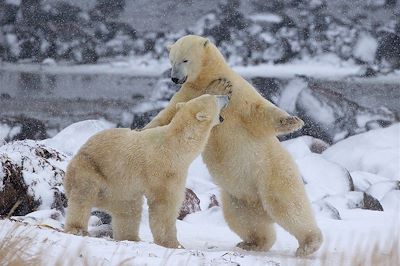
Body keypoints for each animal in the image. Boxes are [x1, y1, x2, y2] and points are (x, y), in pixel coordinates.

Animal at [64, 93, 230, 249]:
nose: (228, 96)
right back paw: (77, 228)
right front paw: (174, 244)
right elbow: (164, 206)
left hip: (121, 189)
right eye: (215, 97)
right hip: (91, 168)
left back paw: (131, 238)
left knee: (129, 209)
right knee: (83, 195)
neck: (177, 146)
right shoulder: (163, 171)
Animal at [145, 34, 324, 256]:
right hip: (238, 196)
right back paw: (252, 243)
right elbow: (168, 118)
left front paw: (293, 121)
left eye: (185, 59)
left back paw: (309, 244)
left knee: (288, 205)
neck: (208, 76)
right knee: (243, 219)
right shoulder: (185, 95)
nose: (175, 78)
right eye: (171, 60)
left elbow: (259, 110)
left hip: (272, 173)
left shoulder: (240, 92)